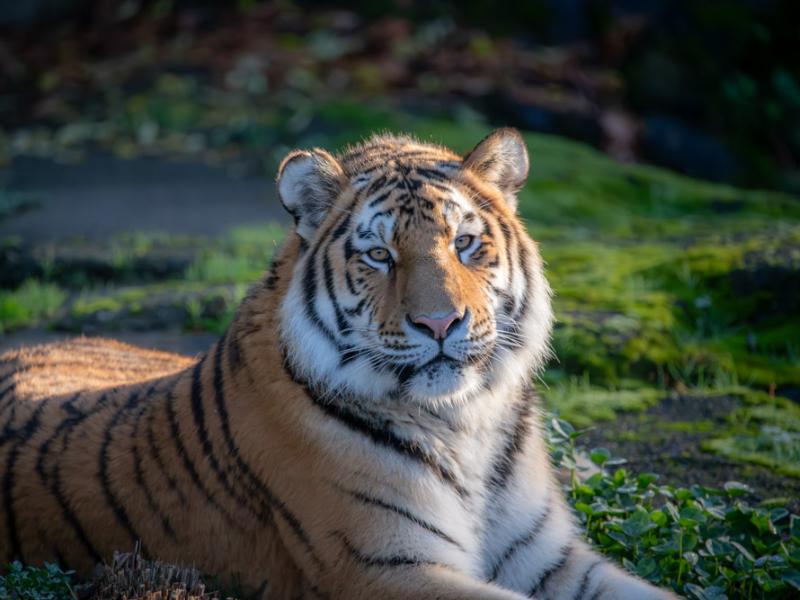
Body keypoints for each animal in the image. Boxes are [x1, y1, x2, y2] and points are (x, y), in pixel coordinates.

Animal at [0, 131, 676, 600]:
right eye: (379, 255)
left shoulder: (553, 559)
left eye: (464, 243)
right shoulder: (385, 568)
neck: (466, 424)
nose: (440, 324)